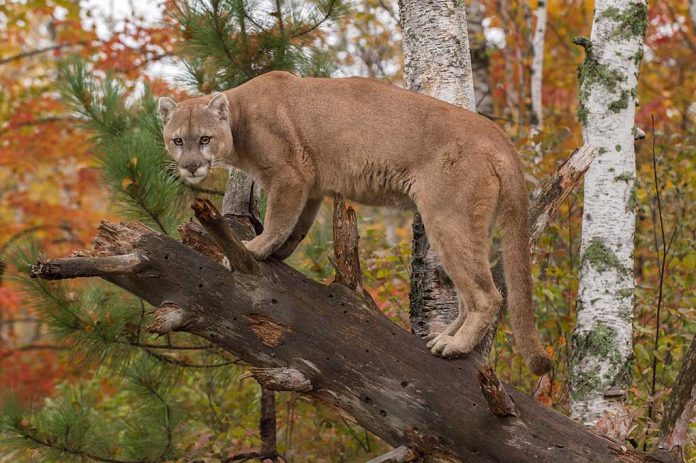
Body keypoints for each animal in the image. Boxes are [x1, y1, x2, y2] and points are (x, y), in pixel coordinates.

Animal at [159, 72, 556, 376]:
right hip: (467, 224)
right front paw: (277, 252)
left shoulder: (290, 175)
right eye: (178, 140)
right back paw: (445, 336)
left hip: (446, 217)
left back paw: (455, 346)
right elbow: (297, 226)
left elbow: (278, 219)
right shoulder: (312, 185)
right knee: (468, 292)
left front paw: (253, 249)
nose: (191, 166)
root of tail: (497, 134)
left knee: (487, 295)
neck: (238, 119)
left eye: (205, 139)